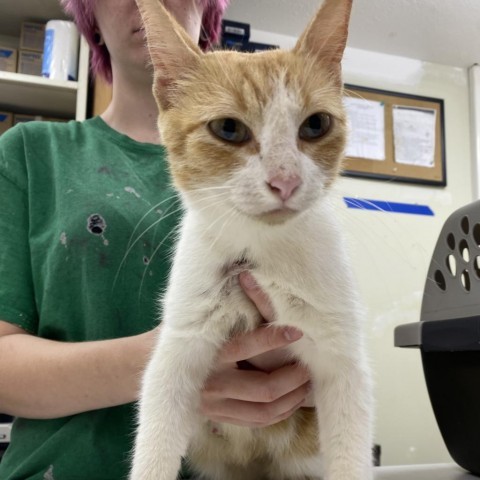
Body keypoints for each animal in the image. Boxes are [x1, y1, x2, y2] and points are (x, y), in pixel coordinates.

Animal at [129, 0, 374, 478]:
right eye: (228, 128)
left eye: (316, 124)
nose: (285, 180)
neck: (261, 253)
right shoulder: (178, 349)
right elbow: (154, 442)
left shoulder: (343, 359)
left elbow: (351, 453)